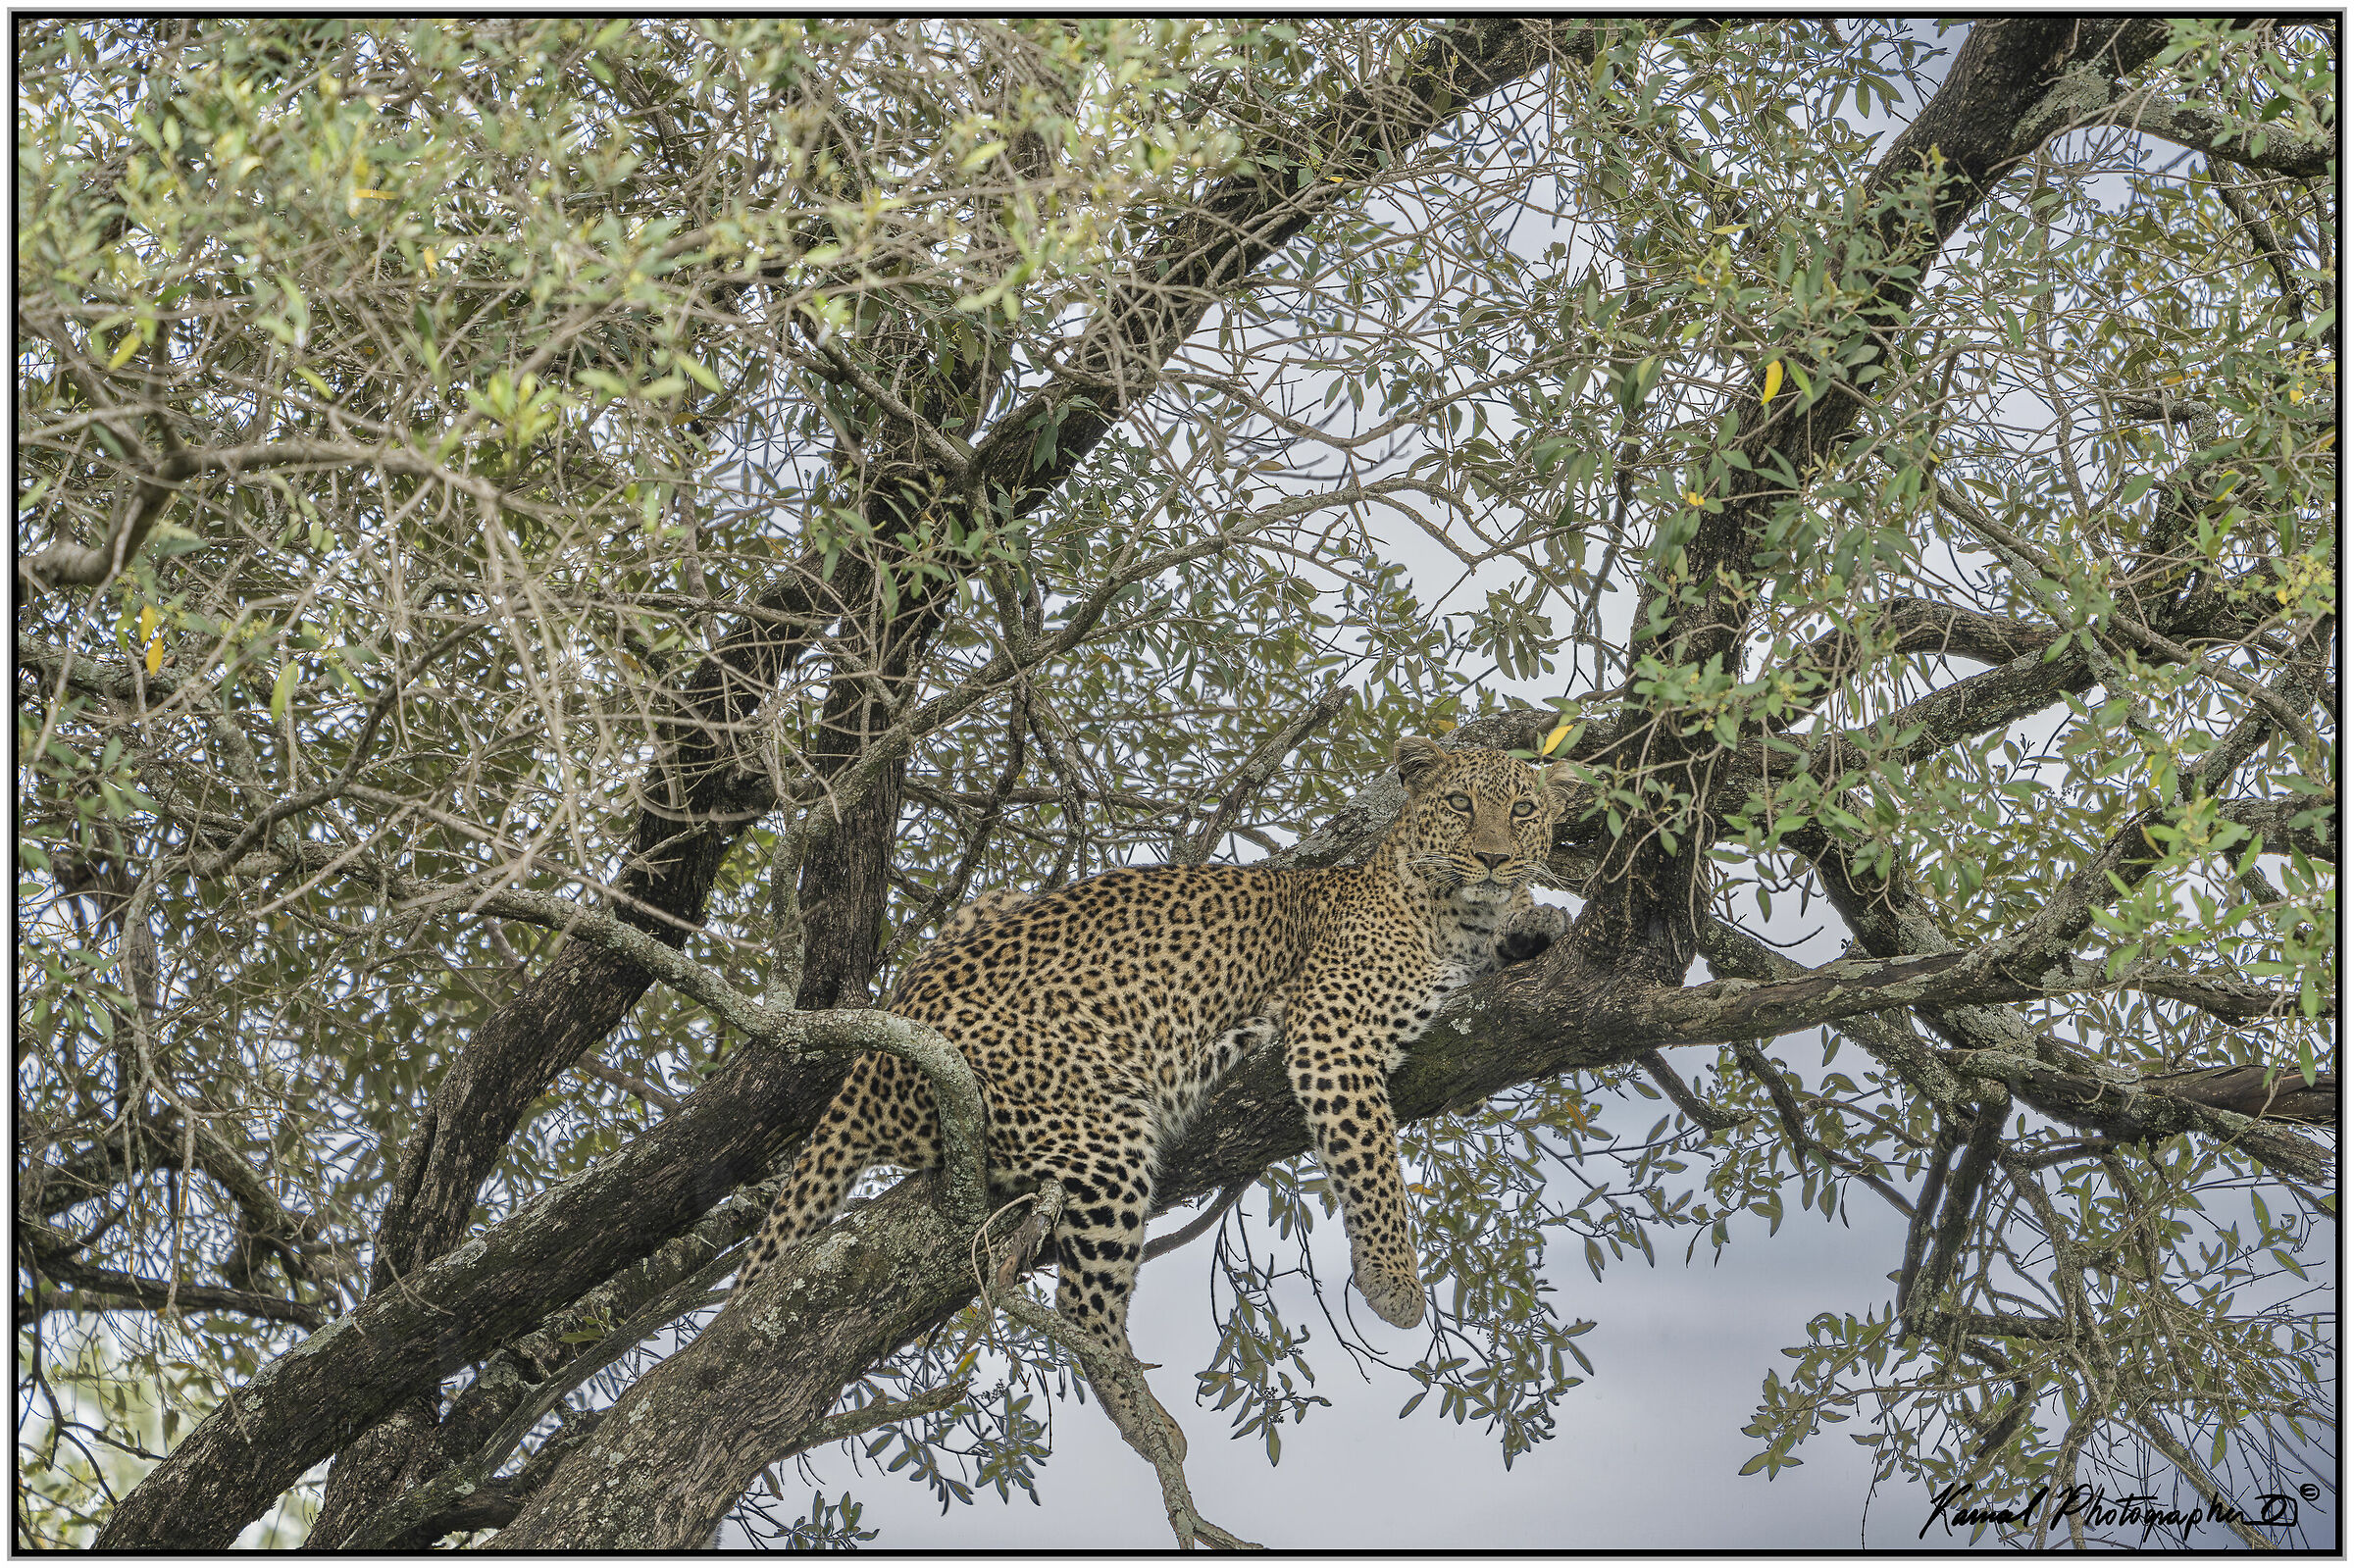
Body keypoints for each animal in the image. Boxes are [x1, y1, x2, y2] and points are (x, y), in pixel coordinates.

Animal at [734, 737, 1573, 1456]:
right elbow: (1372, 1160)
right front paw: (1394, 1281)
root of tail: (879, 1047)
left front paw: (1538, 919)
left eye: (1523, 809)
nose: (1494, 858)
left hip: (995, 906)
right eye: (1461, 802)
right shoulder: (1334, 1033)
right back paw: (1150, 1423)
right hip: (1103, 1132)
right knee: (1081, 1305)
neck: (1454, 917)